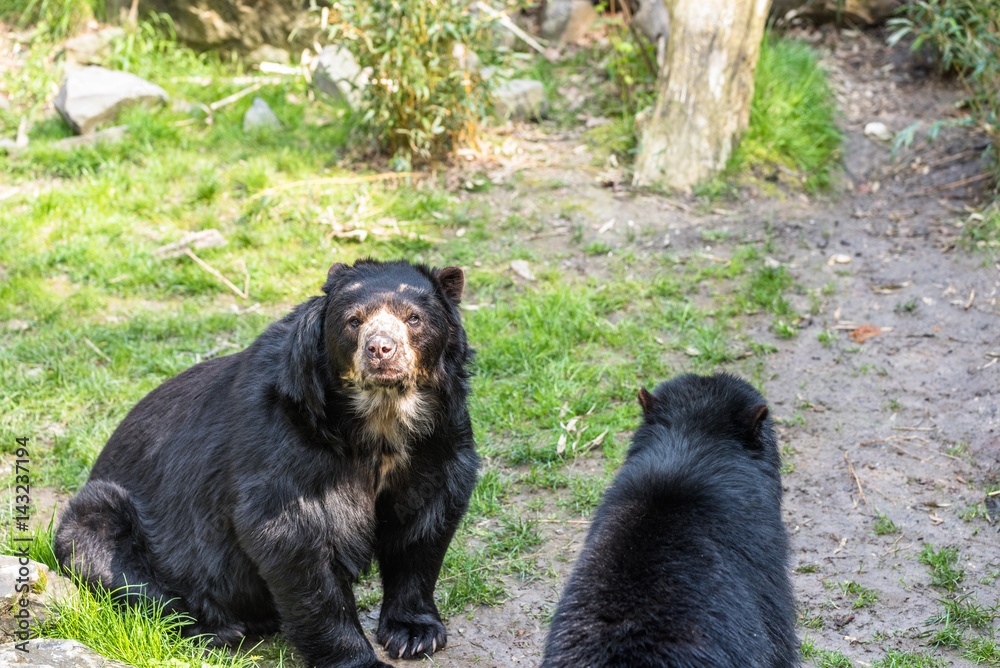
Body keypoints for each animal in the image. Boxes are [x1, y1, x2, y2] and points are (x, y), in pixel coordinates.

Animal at [54, 259, 479, 668]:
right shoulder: (282, 442)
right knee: (117, 564)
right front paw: (359, 659)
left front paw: (415, 634)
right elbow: (294, 539)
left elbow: (424, 524)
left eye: (414, 318)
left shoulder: (437, 442)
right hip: (108, 516)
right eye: (353, 321)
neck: (380, 422)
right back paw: (213, 628)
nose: (380, 349)